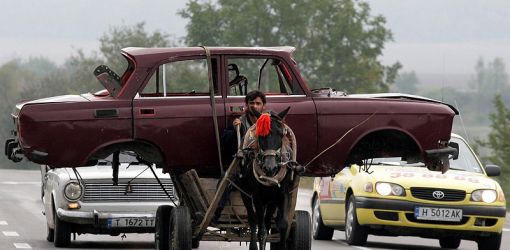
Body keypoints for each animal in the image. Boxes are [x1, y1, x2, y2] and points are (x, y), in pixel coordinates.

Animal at [236, 107, 302, 250]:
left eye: (281, 134)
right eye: (260, 135)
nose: (270, 167)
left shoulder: (283, 195)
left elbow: (283, 224)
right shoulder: (257, 197)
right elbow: (260, 230)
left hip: (271, 201)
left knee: (266, 221)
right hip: (246, 194)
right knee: (253, 219)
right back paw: (254, 245)